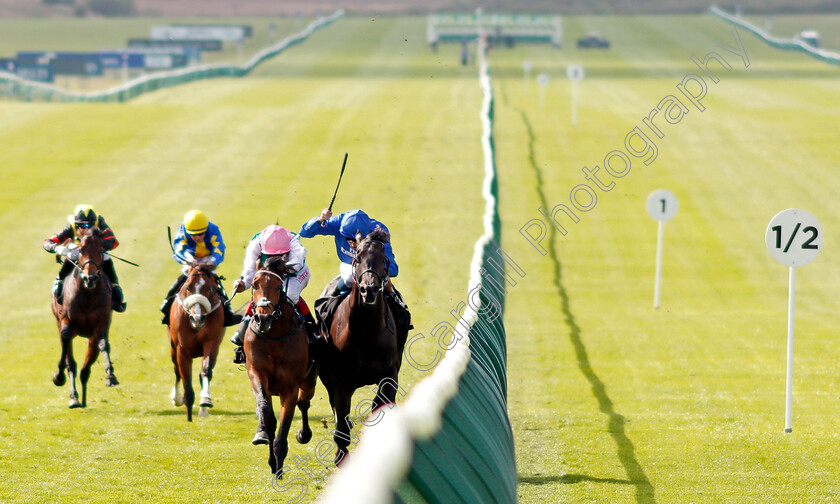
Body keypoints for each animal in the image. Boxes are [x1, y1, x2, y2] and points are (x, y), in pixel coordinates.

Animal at [50, 230, 119, 408]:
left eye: (101, 250)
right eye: (80, 250)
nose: (90, 278)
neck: (88, 295)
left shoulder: (101, 324)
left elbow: (104, 345)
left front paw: (111, 376)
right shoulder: (65, 322)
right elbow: (66, 351)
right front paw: (58, 376)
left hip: (91, 337)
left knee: (85, 369)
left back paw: (84, 398)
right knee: (72, 364)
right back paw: (74, 398)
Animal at [167, 264, 225, 422]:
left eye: (210, 289)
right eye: (188, 287)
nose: (197, 318)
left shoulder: (212, 343)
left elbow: (205, 371)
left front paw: (205, 401)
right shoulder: (182, 349)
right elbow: (185, 379)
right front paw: (188, 417)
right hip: (172, 347)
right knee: (176, 370)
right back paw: (177, 399)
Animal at [248, 258, 320, 478]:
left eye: (279, 287)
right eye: (254, 284)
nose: (263, 319)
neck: (274, 336)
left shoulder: (290, 387)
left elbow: (284, 426)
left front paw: (279, 470)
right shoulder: (256, 373)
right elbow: (266, 411)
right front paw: (263, 437)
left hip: (310, 380)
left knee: (304, 402)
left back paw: (304, 434)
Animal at [316, 228, 406, 464]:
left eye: (384, 259)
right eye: (357, 257)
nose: (369, 289)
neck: (366, 331)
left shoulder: (390, 373)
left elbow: (381, 402)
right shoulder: (341, 382)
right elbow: (341, 423)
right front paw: (341, 455)